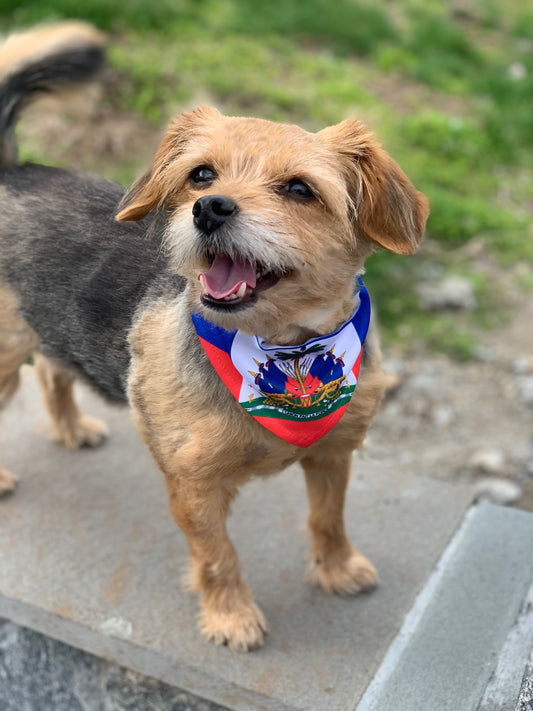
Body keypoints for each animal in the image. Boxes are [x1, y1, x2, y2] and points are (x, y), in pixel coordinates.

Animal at [0, 26, 428, 652]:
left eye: (300, 189)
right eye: (201, 175)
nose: (209, 208)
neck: (282, 347)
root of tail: (12, 172)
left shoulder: (333, 453)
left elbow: (328, 518)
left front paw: (336, 568)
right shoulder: (194, 485)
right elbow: (218, 556)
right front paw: (232, 617)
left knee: (55, 369)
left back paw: (72, 428)